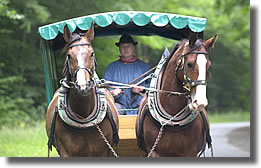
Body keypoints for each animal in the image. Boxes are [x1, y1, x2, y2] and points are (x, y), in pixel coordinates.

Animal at [45, 24, 119, 157]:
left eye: (92, 53)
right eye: (69, 55)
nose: (83, 86)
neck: (83, 118)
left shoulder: (104, 151)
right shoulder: (66, 153)